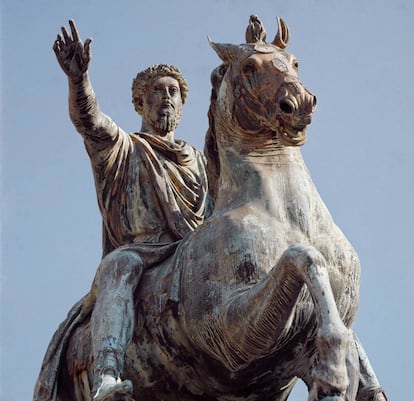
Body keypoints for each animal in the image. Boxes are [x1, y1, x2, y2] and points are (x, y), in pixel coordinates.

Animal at [38, 14, 384, 400]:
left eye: (294, 62)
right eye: (249, 66)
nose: (299, 103)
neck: (288, 218)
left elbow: (343, 341)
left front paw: (336, 372)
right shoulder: (229, 335)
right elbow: (304, 257)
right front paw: (330, 368)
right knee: (121, 268)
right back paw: (110, 384)